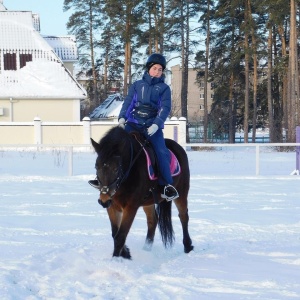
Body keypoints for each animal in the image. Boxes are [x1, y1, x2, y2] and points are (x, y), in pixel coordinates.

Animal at [91, 125, 193, 258]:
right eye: (96, 166)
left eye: (116, 168)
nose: (103, 200)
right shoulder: (112, 206)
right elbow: (115, 233)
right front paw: (126, 253)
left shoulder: (131, 207)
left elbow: (120, 236)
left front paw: (116, 259)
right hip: (149, 201)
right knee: (153, 220)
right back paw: (146, 249)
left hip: (181, 193)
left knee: (183, 216)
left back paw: (188, 246)